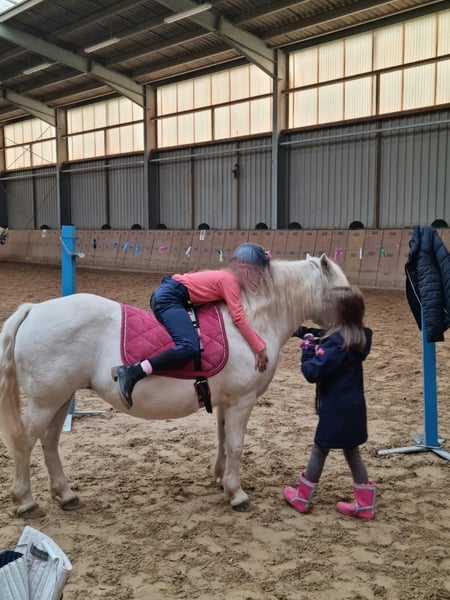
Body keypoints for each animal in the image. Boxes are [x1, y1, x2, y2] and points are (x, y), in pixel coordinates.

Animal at [0, 254, 348, 516]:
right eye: (344, 292)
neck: (251, 322)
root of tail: (33, 309)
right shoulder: (242, 400)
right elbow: (236, 445)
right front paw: (236, 494)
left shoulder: (225, 402)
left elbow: (223, 440)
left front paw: (221, 480)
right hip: (46, 401)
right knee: (25, 441)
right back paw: (26, 501)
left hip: (60, 399)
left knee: (49, 441)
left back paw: (66, 495)